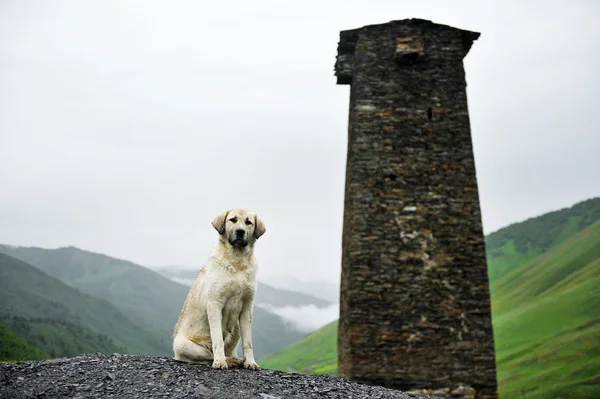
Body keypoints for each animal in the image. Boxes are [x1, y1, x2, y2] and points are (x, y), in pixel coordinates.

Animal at [173, 208, 268, 370]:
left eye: (248, 222)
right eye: (233, 220)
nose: (240, 231)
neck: (237, 261)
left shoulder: (246, 307)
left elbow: (248, 342)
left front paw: (250, 362)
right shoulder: (215, 304)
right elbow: (217, 340)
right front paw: (220, 362)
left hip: (236, 327)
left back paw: (236, 359)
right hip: (181, 344)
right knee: (207, 355)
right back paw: (228, 360)